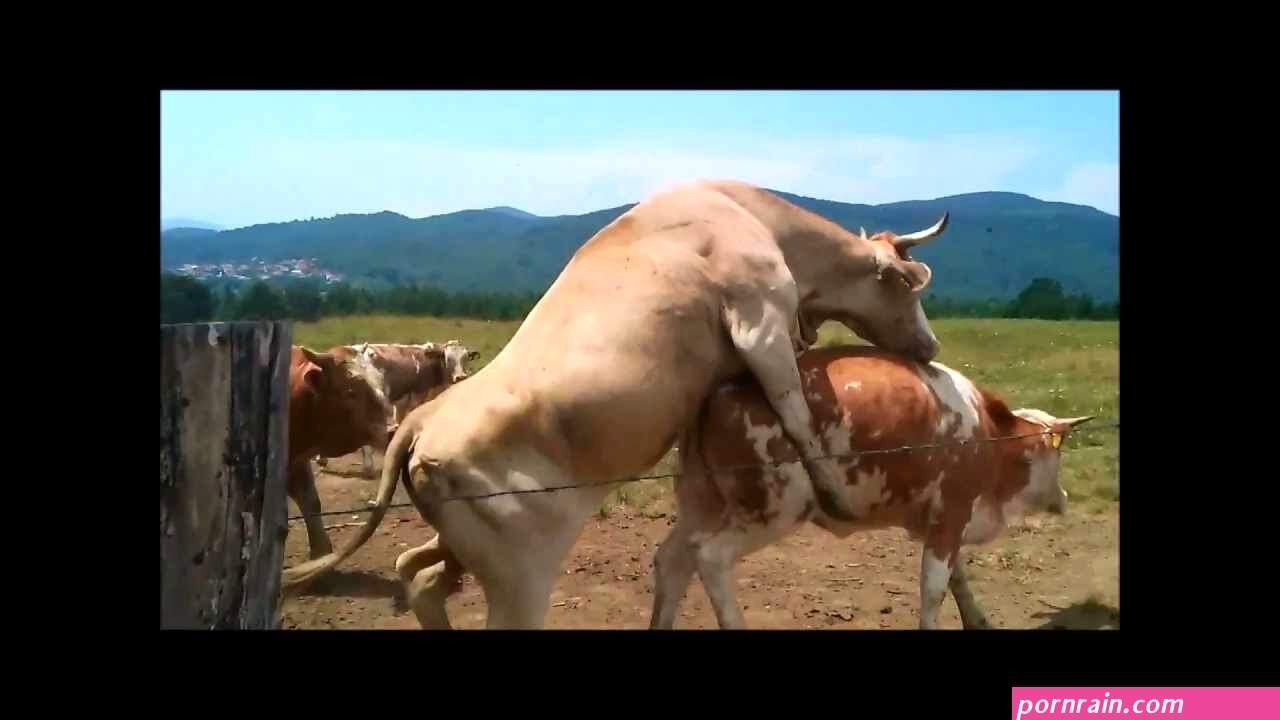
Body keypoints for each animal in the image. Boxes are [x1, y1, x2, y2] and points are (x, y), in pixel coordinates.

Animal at [286, 345, 396, 559]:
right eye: (350, 392)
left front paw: (320, 554)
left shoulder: (297, 462)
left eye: (381, 382)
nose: (392, 430)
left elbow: (311, 502)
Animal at [649, 345, 1094, 630]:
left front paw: (978, 620)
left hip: (704, 505)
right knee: (710, 558)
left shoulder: (940, 524)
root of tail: (718, 392)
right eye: (1059, 454)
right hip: (772, 508)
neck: (992, 436)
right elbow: (934, 590)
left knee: (672, 560)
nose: (1064, 499)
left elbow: (958, 581)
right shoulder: (952, 513)